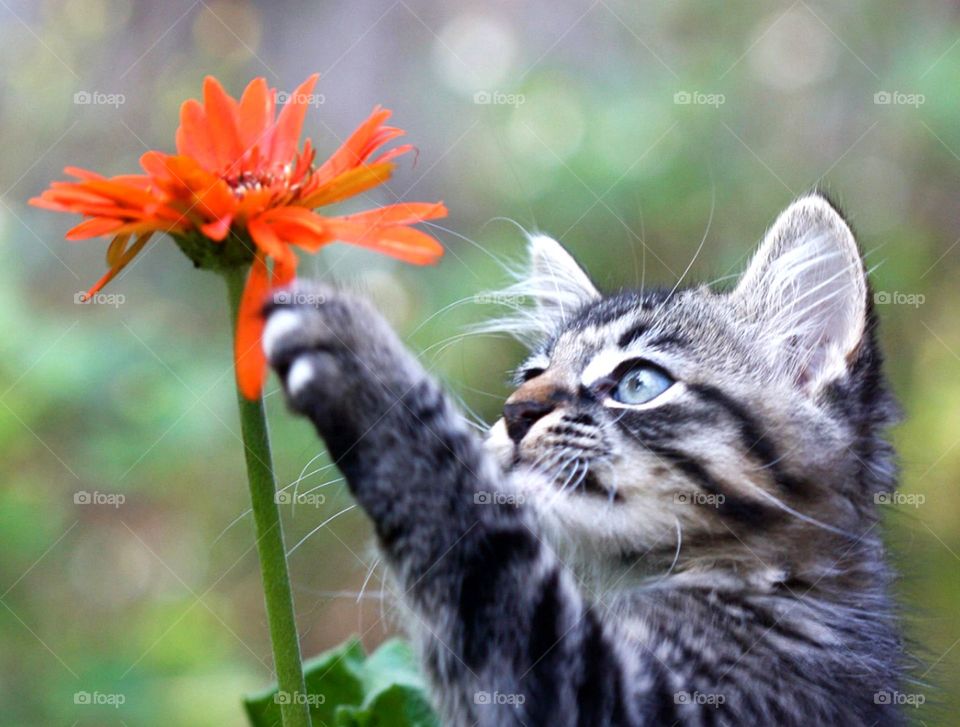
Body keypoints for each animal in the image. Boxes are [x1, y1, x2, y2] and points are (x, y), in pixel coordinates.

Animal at [264, 195, 908, 727]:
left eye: (638, 383)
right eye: (531, 375)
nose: (515, 412)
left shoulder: (618, 697)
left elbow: (479, 544)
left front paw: (357, 350)